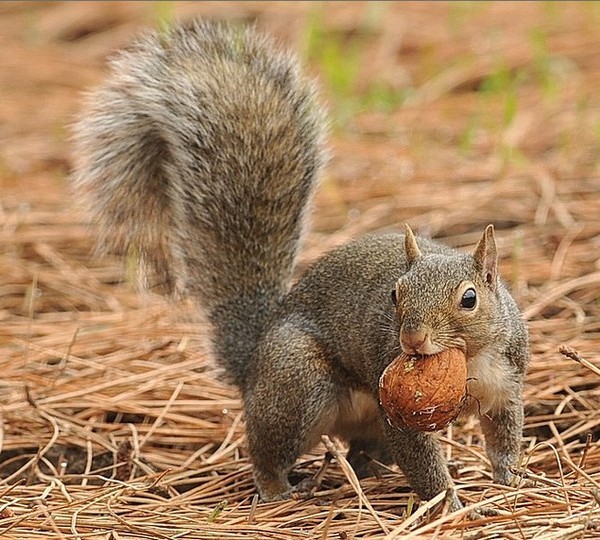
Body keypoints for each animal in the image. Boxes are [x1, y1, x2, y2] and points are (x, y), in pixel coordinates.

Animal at [71, 20, 528, 510]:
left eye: (469, 299)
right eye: (395, 294)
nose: (412, 338)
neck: (468, 361)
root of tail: (253, 359)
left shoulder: (507, 383)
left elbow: (504, 435)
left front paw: (510, 481)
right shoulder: (396, 408)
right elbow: (421, 460)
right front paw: (450, 506)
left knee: (362, 452)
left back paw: (368, 476)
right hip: (298, 384)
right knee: (268, 449)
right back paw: (279, 490)